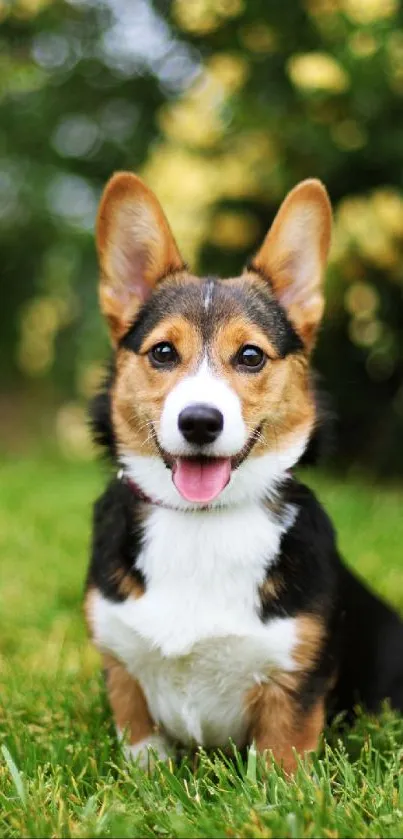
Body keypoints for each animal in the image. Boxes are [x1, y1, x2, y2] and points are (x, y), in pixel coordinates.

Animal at [83, 172, 403, 776]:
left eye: (251, 356)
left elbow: (280, 762)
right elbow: (141, 748)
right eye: (163, 352)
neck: (202, 521)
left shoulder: (292, 681)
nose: (200, 422)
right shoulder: (122, 665)